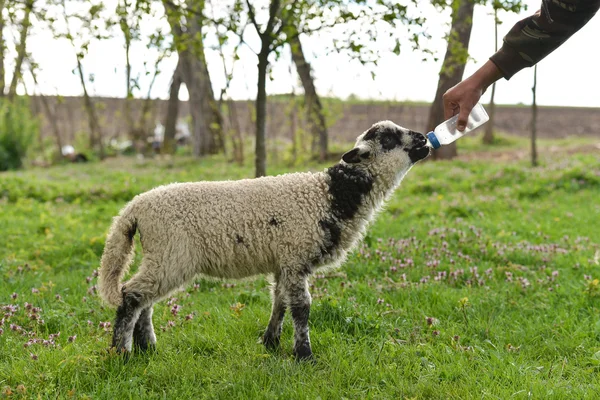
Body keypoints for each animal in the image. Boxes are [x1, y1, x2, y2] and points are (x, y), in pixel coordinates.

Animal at [98, 121, 432, 360]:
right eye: (388, 139)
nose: (424, 140)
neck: (332, 195)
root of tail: (135, 208)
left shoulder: (284, 261)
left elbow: (280, 302)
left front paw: (271, 342)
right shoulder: (295, 255)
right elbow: (301, 307)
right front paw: (304, 354)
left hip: (162, 255)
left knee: (145, 299)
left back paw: (147, 347)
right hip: (171, 253)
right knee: (132, 296)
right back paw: (122, 352)